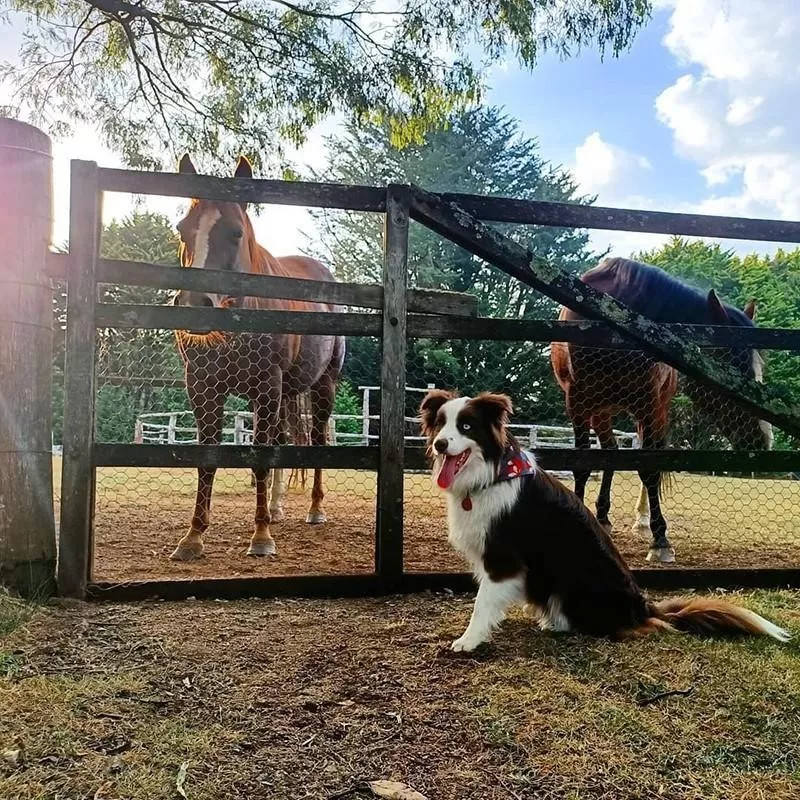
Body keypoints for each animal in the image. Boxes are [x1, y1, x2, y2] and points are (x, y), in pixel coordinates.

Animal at [169, 153, 344, 560]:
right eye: (182, 229)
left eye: (235, 232)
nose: (194, 304)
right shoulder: (202, 387)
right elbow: (208, 458)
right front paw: (193, 537)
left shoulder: (268, 386)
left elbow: (261, 456)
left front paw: (261, 537)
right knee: (284, 438)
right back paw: (277, 508)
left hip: (322, 386)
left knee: (316, 441)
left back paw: (314, 509)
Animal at [422, 390, 792, 652]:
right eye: (440, 424)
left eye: (466, 426)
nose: (440, 444)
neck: (491, 473)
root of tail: (643, 607)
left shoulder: (503, 558)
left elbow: (482, 602)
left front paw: (468, 640)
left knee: (643, 627)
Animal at [552, 256, 772, 564]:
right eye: (731, 368)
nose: (762, 439)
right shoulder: (579, 403)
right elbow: (582, 465)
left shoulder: (649, 405)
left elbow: (650, 469)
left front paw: (660, 541)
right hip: (602, 410)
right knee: (611, 452)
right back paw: (603, 517)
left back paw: (639, 520)